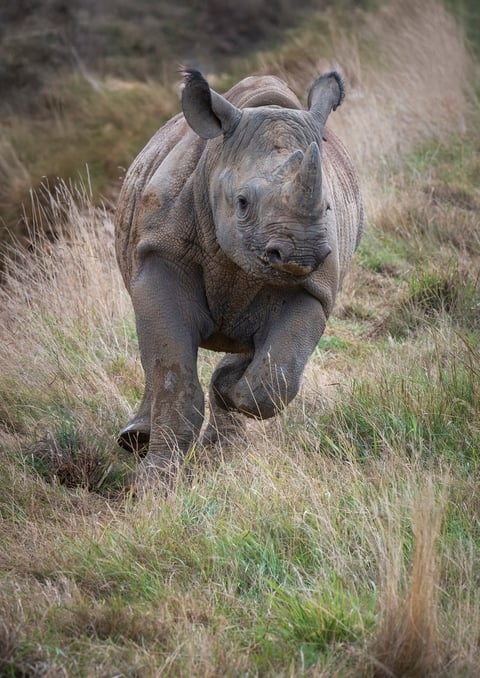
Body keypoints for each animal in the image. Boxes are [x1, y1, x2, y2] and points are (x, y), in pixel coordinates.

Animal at [114, 68, 363, 485]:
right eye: (243, 202)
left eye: (328, 207)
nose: (301, 253)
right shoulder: (159, 255)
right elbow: (172, 375)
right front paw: (154, 483)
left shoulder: (313, 287)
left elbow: (276, 376)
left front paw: (228, 386)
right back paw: (135, 440)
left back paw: (224, 444)